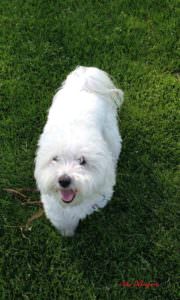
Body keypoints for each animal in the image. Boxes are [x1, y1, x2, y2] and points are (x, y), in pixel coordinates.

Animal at [34, 66, 123, 237]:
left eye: (82, 161)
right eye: (55, 159)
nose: (63, 180)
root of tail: (84, 84)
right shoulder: (56, 207)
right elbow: (64, 221)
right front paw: (67, 233)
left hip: (111, 134)